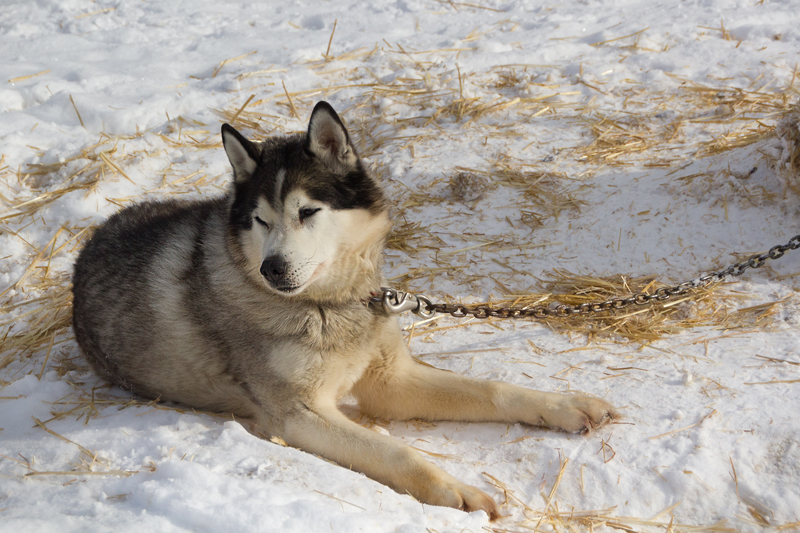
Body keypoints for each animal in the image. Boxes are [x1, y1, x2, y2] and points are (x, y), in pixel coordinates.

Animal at [72, 102, 616, 516]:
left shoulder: (391, 381)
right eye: (260, 220)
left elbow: (494, 390)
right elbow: (396, 452)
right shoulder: (300, 414)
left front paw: (564, 406)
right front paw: (455, 491)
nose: (272, 268)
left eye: (308, 212)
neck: (328, 305)